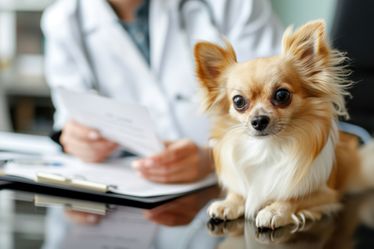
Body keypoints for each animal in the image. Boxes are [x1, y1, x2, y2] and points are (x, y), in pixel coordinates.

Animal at [193, 20, 374, 230]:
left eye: (281, 95)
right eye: (238, 101)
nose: (258, 120)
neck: (267, 147)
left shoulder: (327, 194)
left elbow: (295, 198)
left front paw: (274, 211)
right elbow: (238, 192)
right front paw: (229, 203)